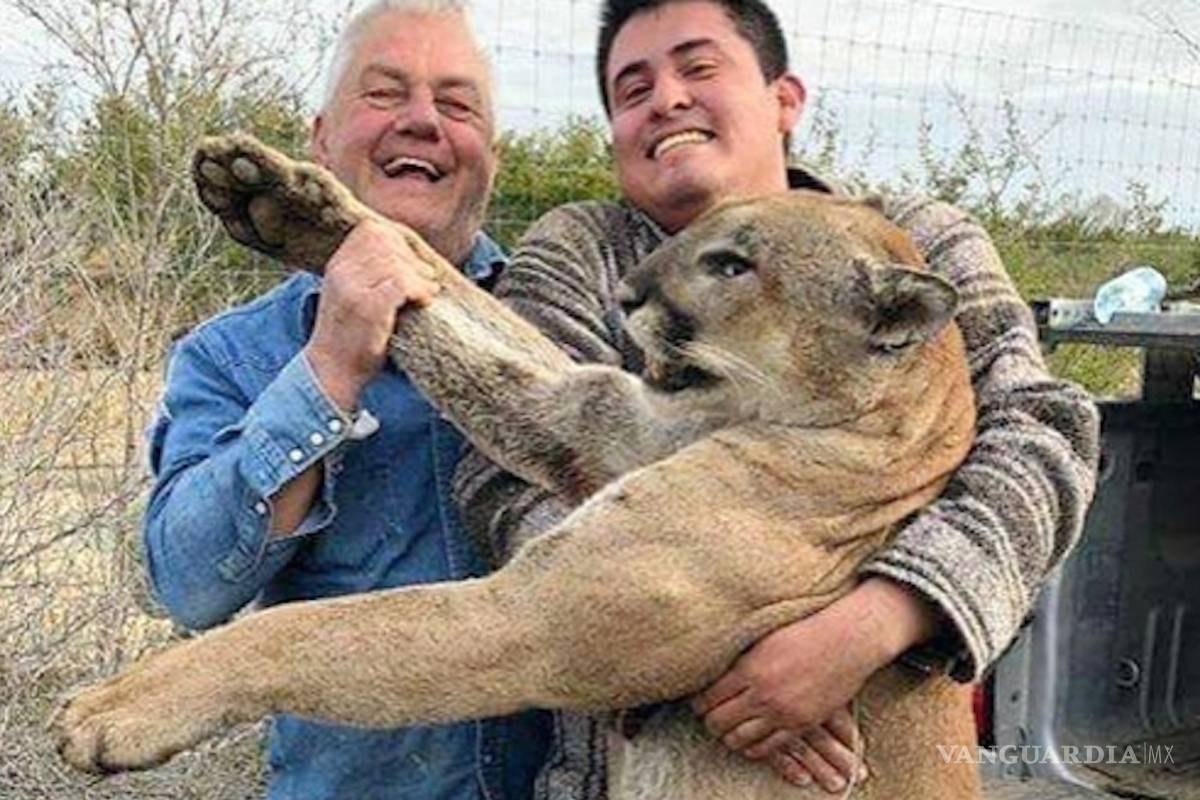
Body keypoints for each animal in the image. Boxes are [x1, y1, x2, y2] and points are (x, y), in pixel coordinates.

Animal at [53, 134, 980, 799]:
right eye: (691, 238)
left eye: (732, 263)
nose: (630, 292)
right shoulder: (589, 418)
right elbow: (449, 313)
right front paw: (285, 202)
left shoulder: (533, 619)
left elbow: (319, 631)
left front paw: (112, 713)